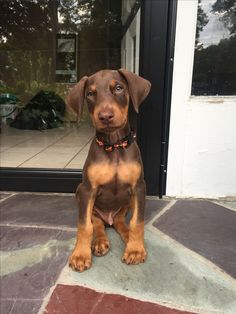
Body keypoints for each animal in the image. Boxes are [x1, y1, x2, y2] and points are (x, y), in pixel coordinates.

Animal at [66, 68, 151, 272]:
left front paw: (135, 250)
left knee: (121, 221)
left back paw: (127, 236)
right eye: (90, 94)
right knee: (97, 223)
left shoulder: (139, 187)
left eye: (119, 88)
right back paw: (99, 241)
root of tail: (108, 219)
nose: (105, 116)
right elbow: (84, 226)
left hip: (127, 202)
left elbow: (137, 221)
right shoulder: (88, 190)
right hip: (80, 193)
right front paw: (80, 255)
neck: (114, 146)